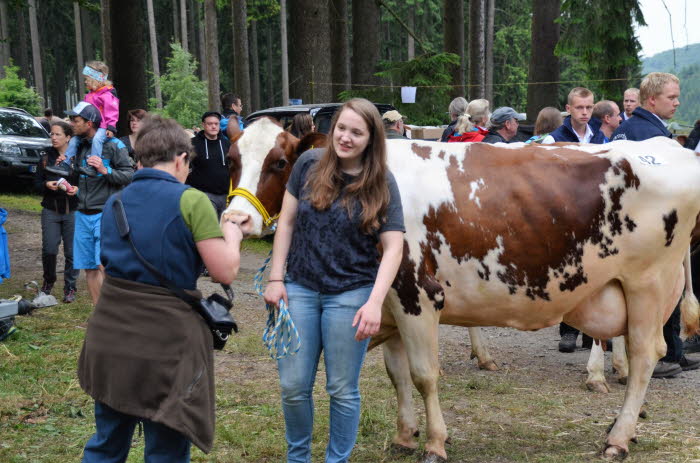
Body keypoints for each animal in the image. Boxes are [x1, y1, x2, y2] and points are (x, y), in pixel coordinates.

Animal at [223, 118, 700, 462]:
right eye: (231, 158)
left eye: (279, 163)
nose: (236, 219)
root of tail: (669, 145)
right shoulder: (388, 302)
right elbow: (397, 374)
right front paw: (405, 436)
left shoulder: (416, 293)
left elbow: (423, 374)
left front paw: (435, 443)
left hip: (647, 285)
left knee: (643, 358)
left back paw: (617, 438)